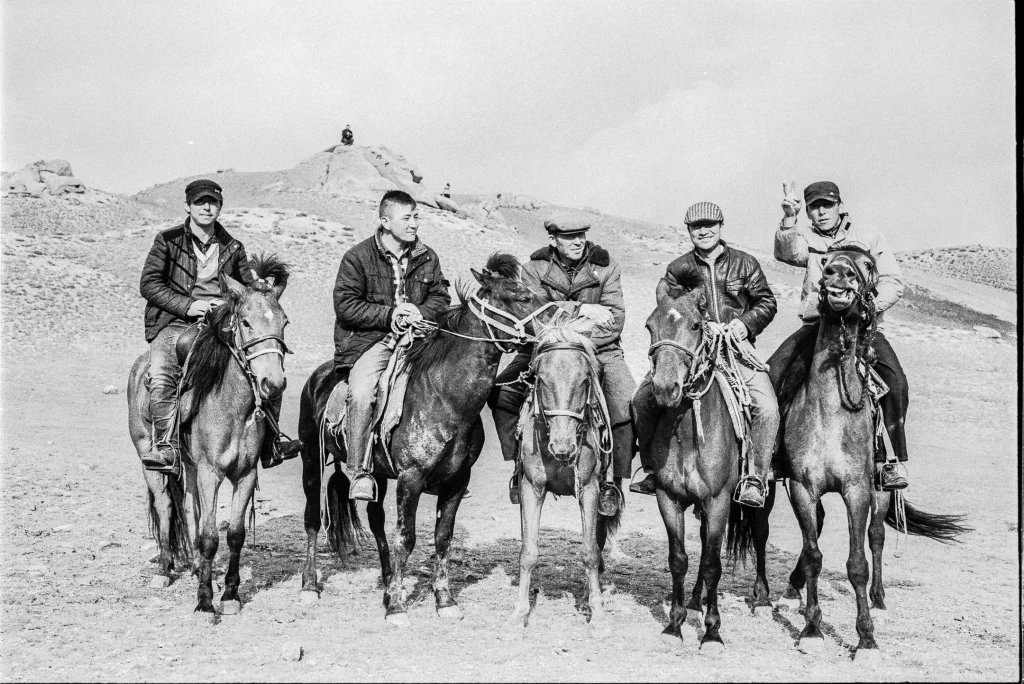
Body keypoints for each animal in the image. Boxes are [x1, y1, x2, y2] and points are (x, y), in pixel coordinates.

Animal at [126, 254, 292, 614]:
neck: (232, 409)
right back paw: (165, 570)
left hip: (188, 465)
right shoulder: (209, 472)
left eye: (284, 322)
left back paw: (198, 570)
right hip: (150, 458)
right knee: (166, 506)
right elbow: (210, 536)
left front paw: (229, 595)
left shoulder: (245, 473)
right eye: (245, 322)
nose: (273, 384)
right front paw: (204, 602)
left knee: (191, 509)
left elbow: (234, 535)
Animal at [296, 250, 552, 626]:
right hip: (311, 460)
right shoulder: (411, 478)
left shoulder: (457, 480)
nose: (557, 326)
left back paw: (389, 582)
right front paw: (397, 608)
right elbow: (406, 538)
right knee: (313, 519)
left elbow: (442, 538)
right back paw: (310, 586)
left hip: (376, 475)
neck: (445, 398)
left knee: (376, 522)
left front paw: (443, 599)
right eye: (521, 297)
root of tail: (320, 376)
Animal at [507, 321, 618, 634]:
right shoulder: (531, 489)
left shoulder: (590, 490)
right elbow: (528, 551)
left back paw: (588, 598)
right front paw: (519, 613)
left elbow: (590, 552)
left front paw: (598, 615)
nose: (563, 447)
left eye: (585, 380)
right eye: (541, 380)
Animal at [634, 270, 749, 651]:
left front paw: (712, 632)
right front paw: (675, 624)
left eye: (697, 325)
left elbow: (713, 564)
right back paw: (696, 600)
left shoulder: (718, 502)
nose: (664, 388)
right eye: (650, 325)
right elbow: (679, 559)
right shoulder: (668, 498)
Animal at [737, 248, 966, 659]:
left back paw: (878, 598)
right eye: (826, 259)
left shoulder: (857, 489)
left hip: (880, 488)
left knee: (876, 536)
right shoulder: (802, 487)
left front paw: (866, 637)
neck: (830, 409)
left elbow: (857, 562)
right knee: (765, 531)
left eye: (869, 264)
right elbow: (813, 555)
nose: (838, 273)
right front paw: (812, 629)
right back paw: (770, 596)